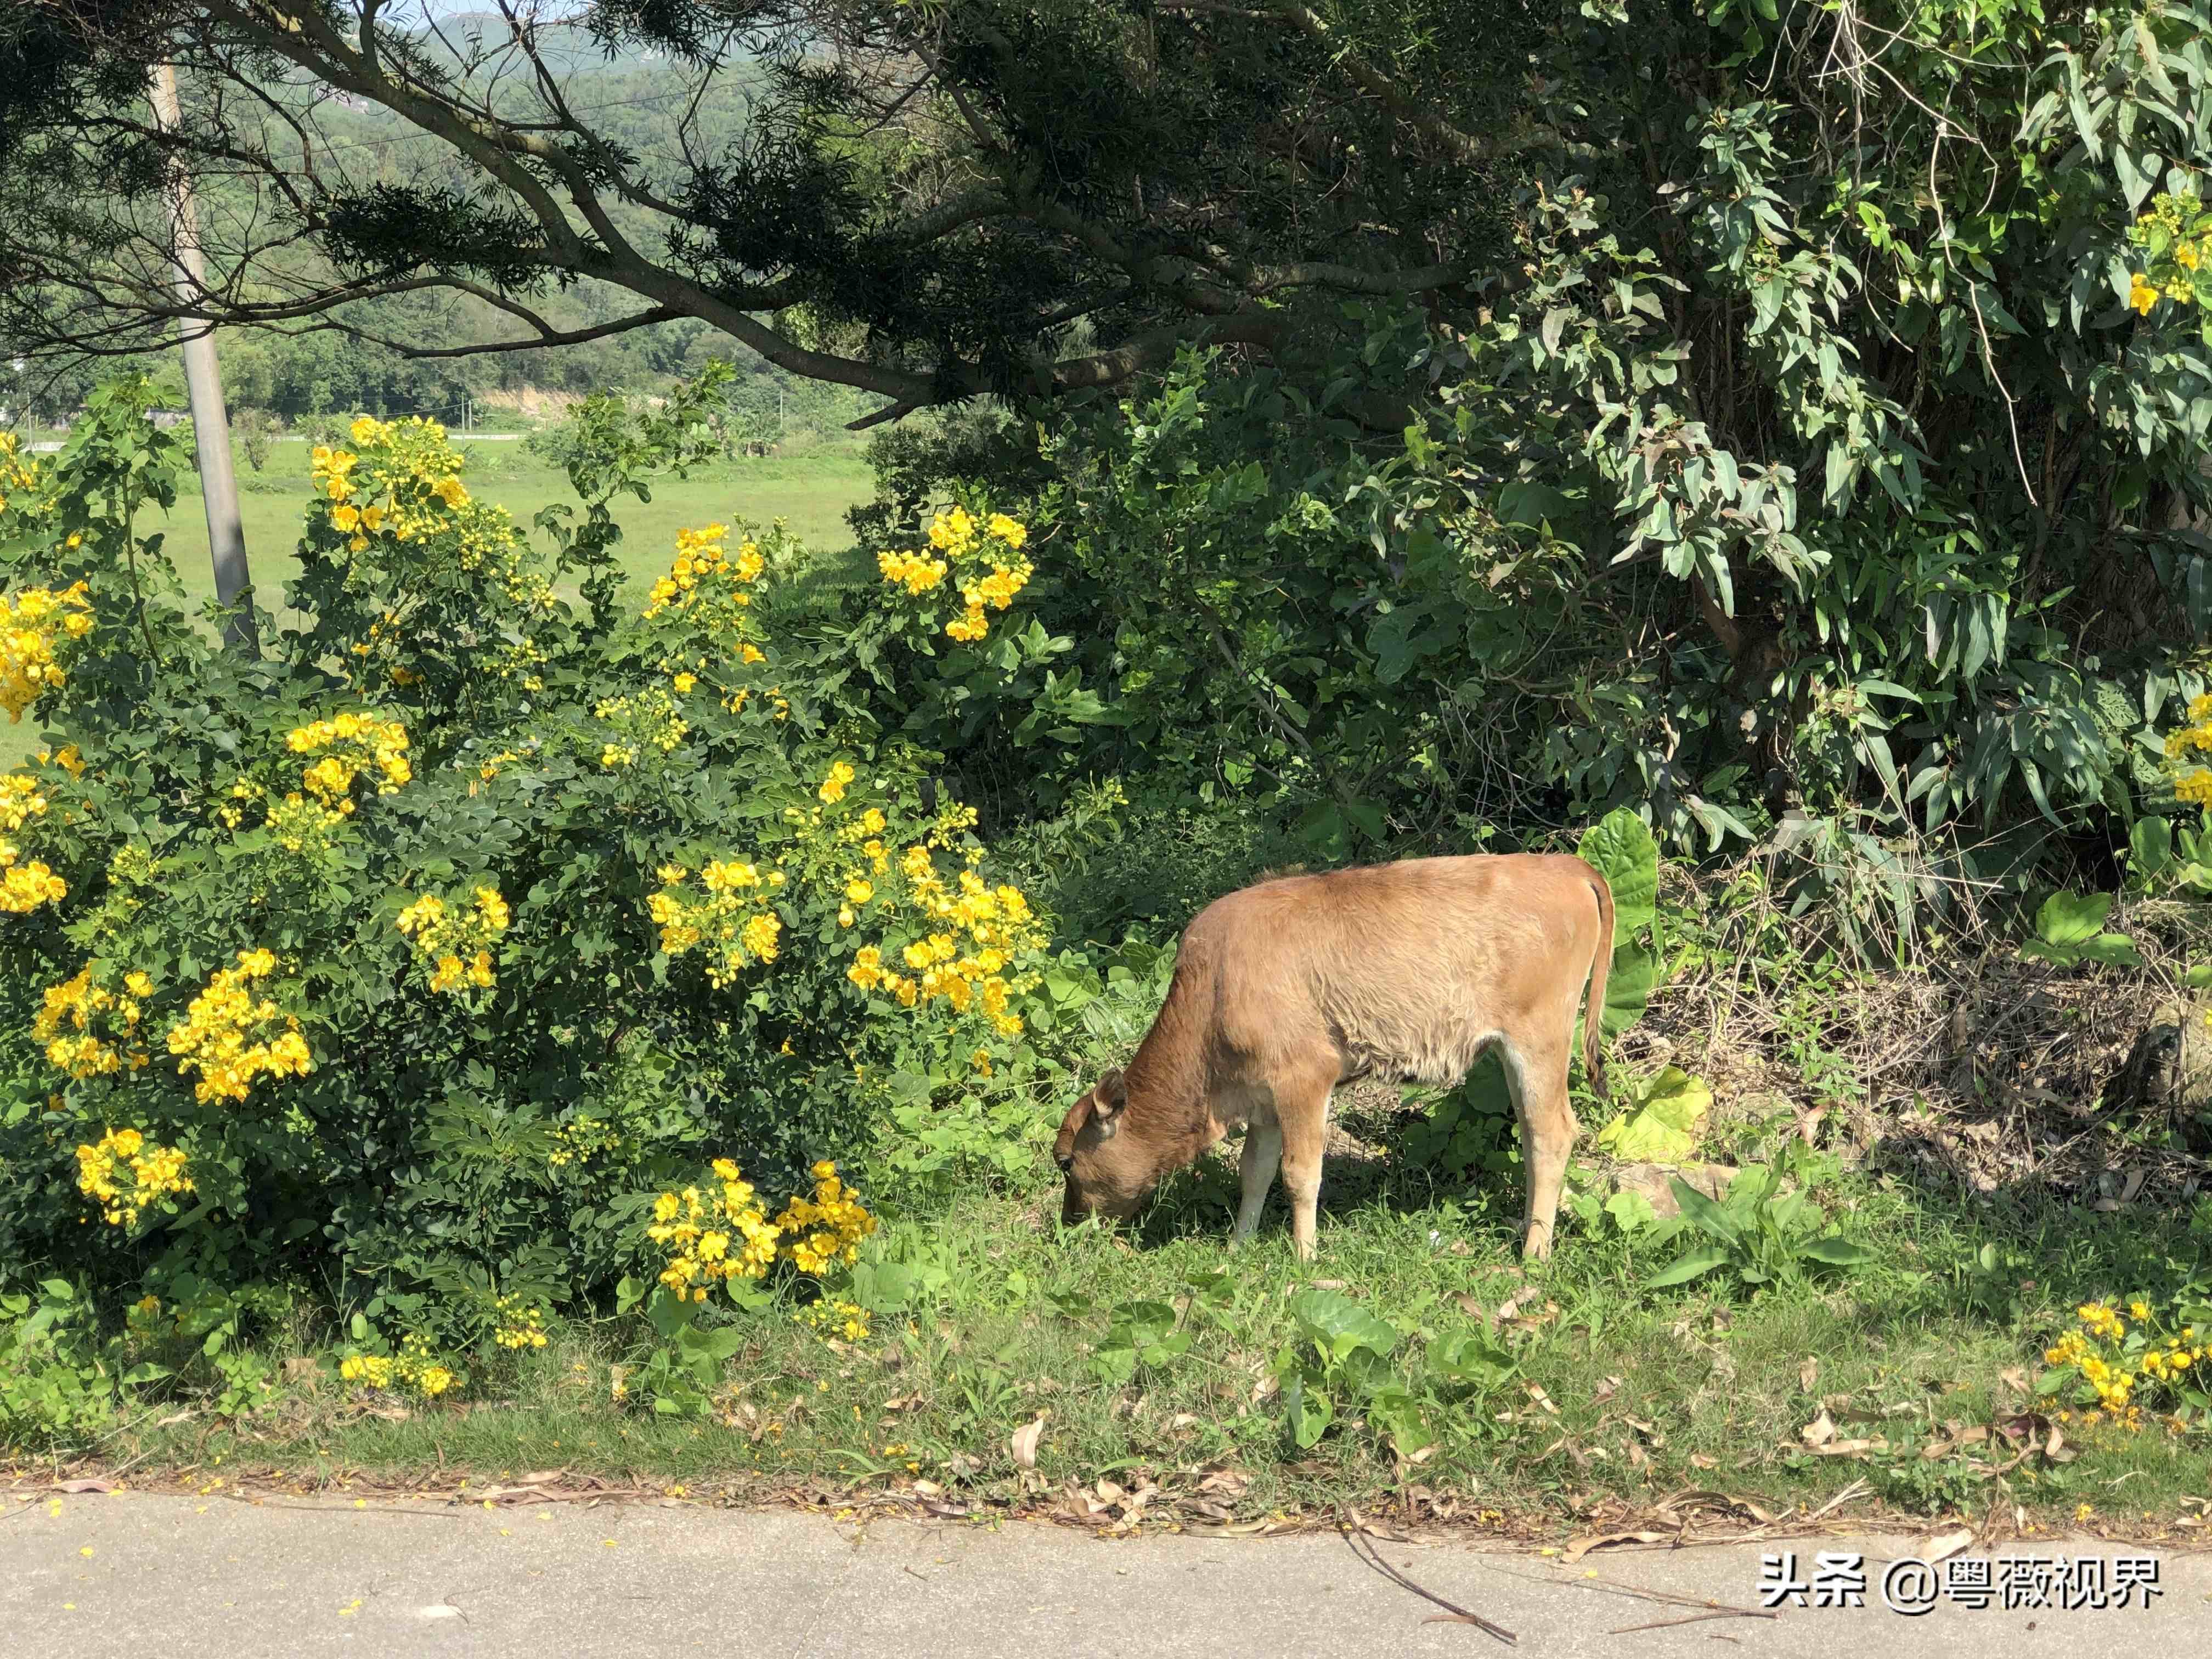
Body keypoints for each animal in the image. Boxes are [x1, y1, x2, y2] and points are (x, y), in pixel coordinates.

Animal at [1048, 858, 1610, 1256]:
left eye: (1066, 1161)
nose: (1068, 1221)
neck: (1217, 983)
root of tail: (1564, 865)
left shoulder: (1304, 1080)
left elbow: (1301, 1174)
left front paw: (1304, 1258)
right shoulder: (1264, 1099)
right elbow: (1255, 1170)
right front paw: (1238, 1247)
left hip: (1539, 1042)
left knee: (1552, 1133)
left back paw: (1535, 1252)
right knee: (1534, 1133)